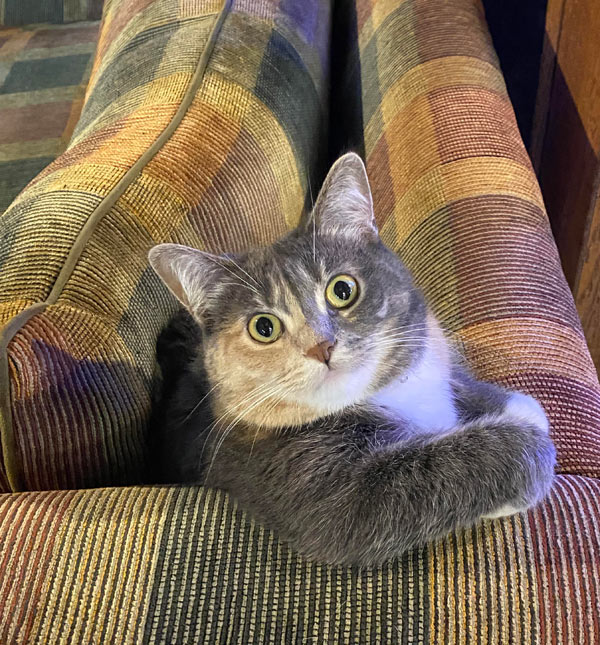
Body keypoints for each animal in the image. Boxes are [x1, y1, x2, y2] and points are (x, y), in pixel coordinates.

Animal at [148, 151, 556, 564]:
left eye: (342, 290)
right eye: (263, 327)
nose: (321, 347)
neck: (382, 395)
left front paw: (515, 405)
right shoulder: (317, 488)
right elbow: (424, 476)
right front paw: (528, 444)